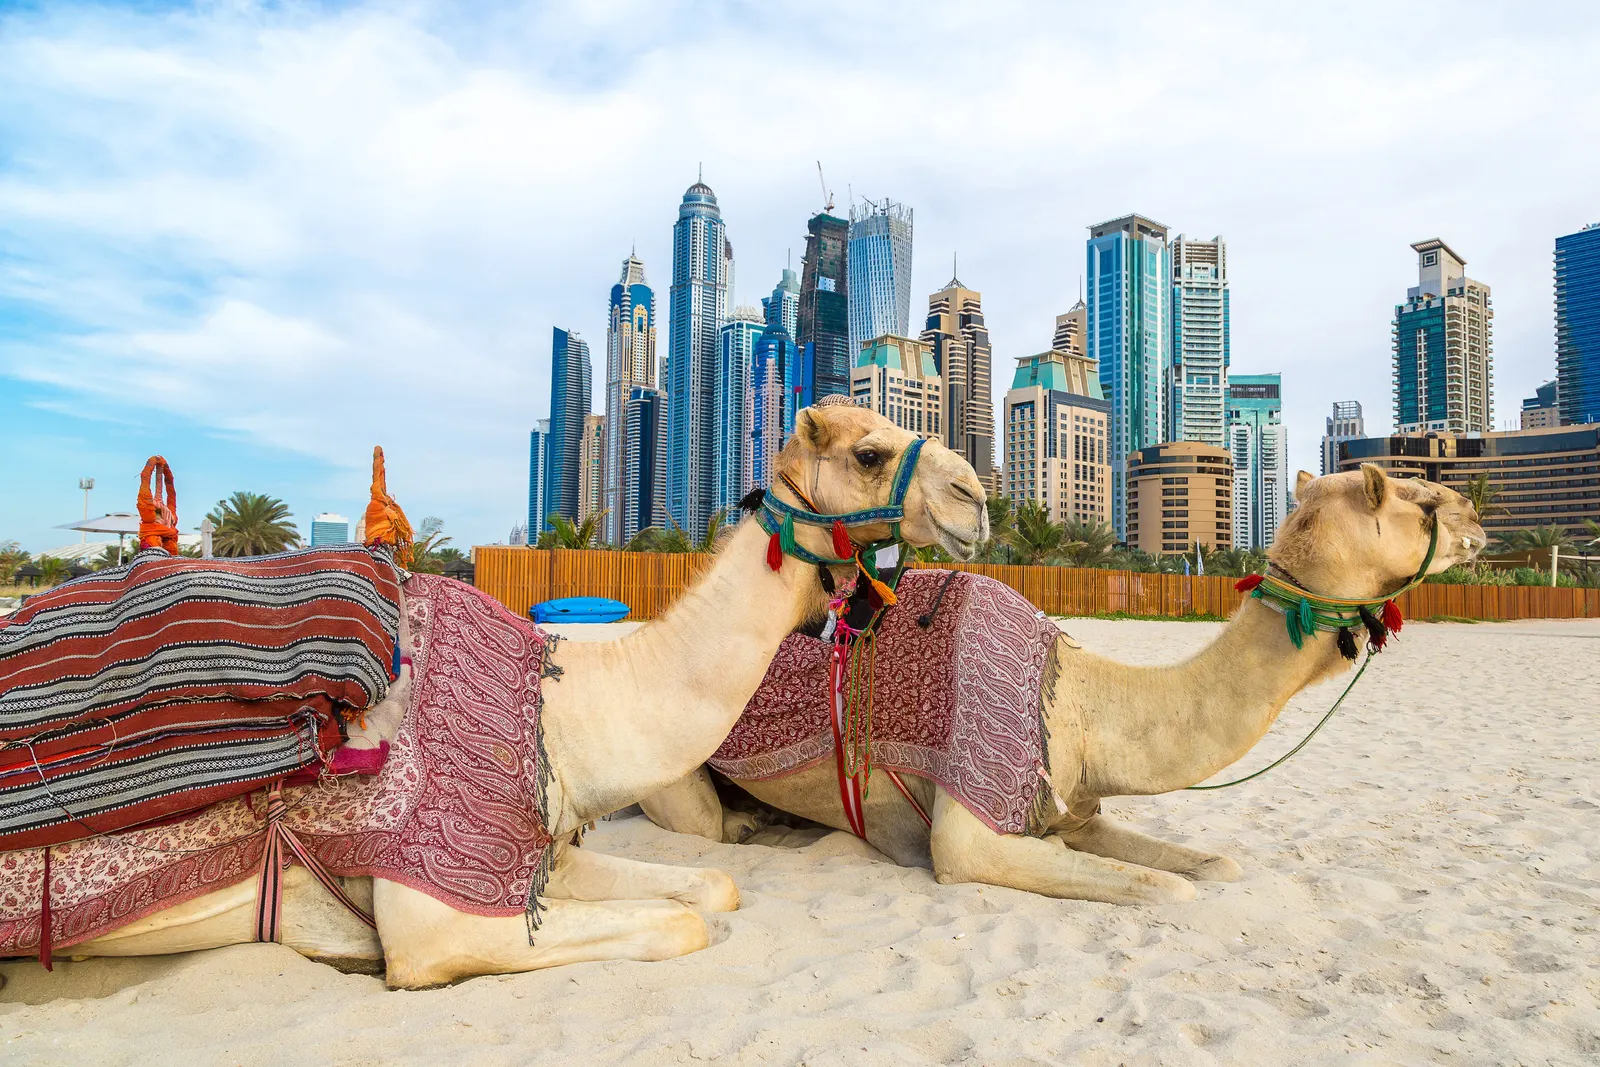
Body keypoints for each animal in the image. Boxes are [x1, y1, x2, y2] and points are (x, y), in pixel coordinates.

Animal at [9, 404, 988, 988]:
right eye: (870, 451)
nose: (977, 495)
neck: (562, 710)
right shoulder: (433, 920)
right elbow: (680, 925)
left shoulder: (546, 853)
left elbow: (711, 886)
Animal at [641, 464, 1486, 904]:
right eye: (1416, 498)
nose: (1477, 513)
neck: (1081, 701)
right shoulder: (969, 829)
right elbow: (1169, 889)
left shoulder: (1074, 805)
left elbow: (1213, 867)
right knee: (700, 823)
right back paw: (746, 824)